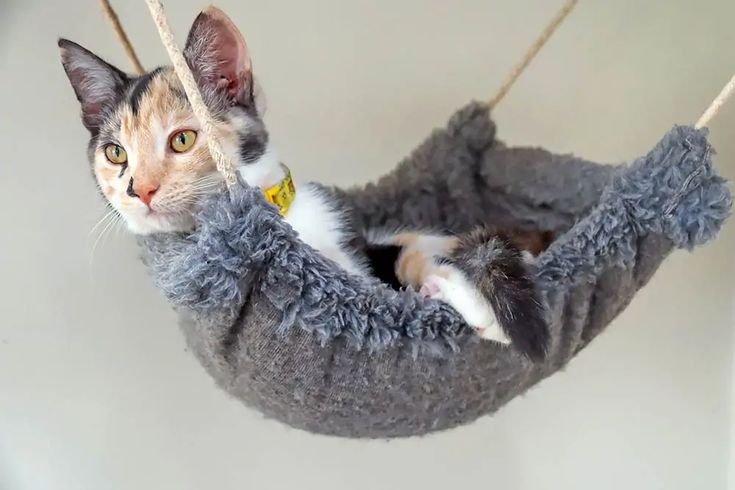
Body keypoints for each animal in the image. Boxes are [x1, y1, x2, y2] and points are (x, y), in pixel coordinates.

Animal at [59, 6, 552, 360]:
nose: (138, 189)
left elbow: (417, 253)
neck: (284, 220)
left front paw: (478, 302)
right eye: (116, 154)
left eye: (182, 139)